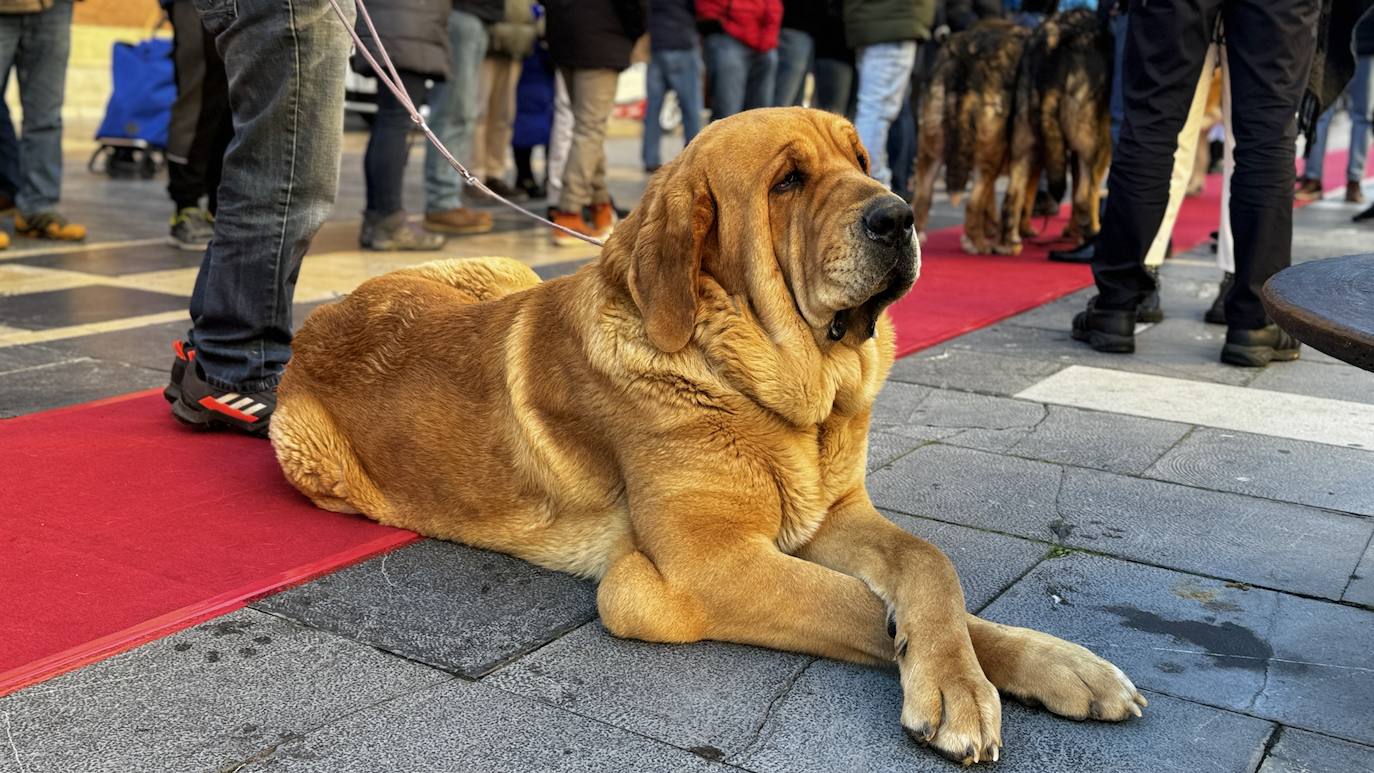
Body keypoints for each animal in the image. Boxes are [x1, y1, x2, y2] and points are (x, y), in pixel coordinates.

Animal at [270, 105, 1148, 763]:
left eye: (863, 157)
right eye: (788, 181)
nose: (899, 216)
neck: (754, 379)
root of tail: (315, 323)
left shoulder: (834, 514)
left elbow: (933, 569)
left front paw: (1047, 665)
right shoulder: (706, 567)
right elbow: (854, 604)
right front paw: (953, 683)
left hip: (503, 271)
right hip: (306, 450)